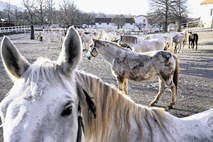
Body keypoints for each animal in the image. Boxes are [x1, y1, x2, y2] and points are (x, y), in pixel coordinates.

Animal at [0, 25, 212, 142]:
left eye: (91, 47)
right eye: (3, 108)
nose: (87, 56)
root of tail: (171, 53)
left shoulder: (119, 77)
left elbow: (122, 91)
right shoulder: (123, 78)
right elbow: (125, 91)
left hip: (166, 76)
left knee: (172, 88)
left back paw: (171, 104)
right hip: (161, 76)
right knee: (162, 89)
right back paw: (154, 103)